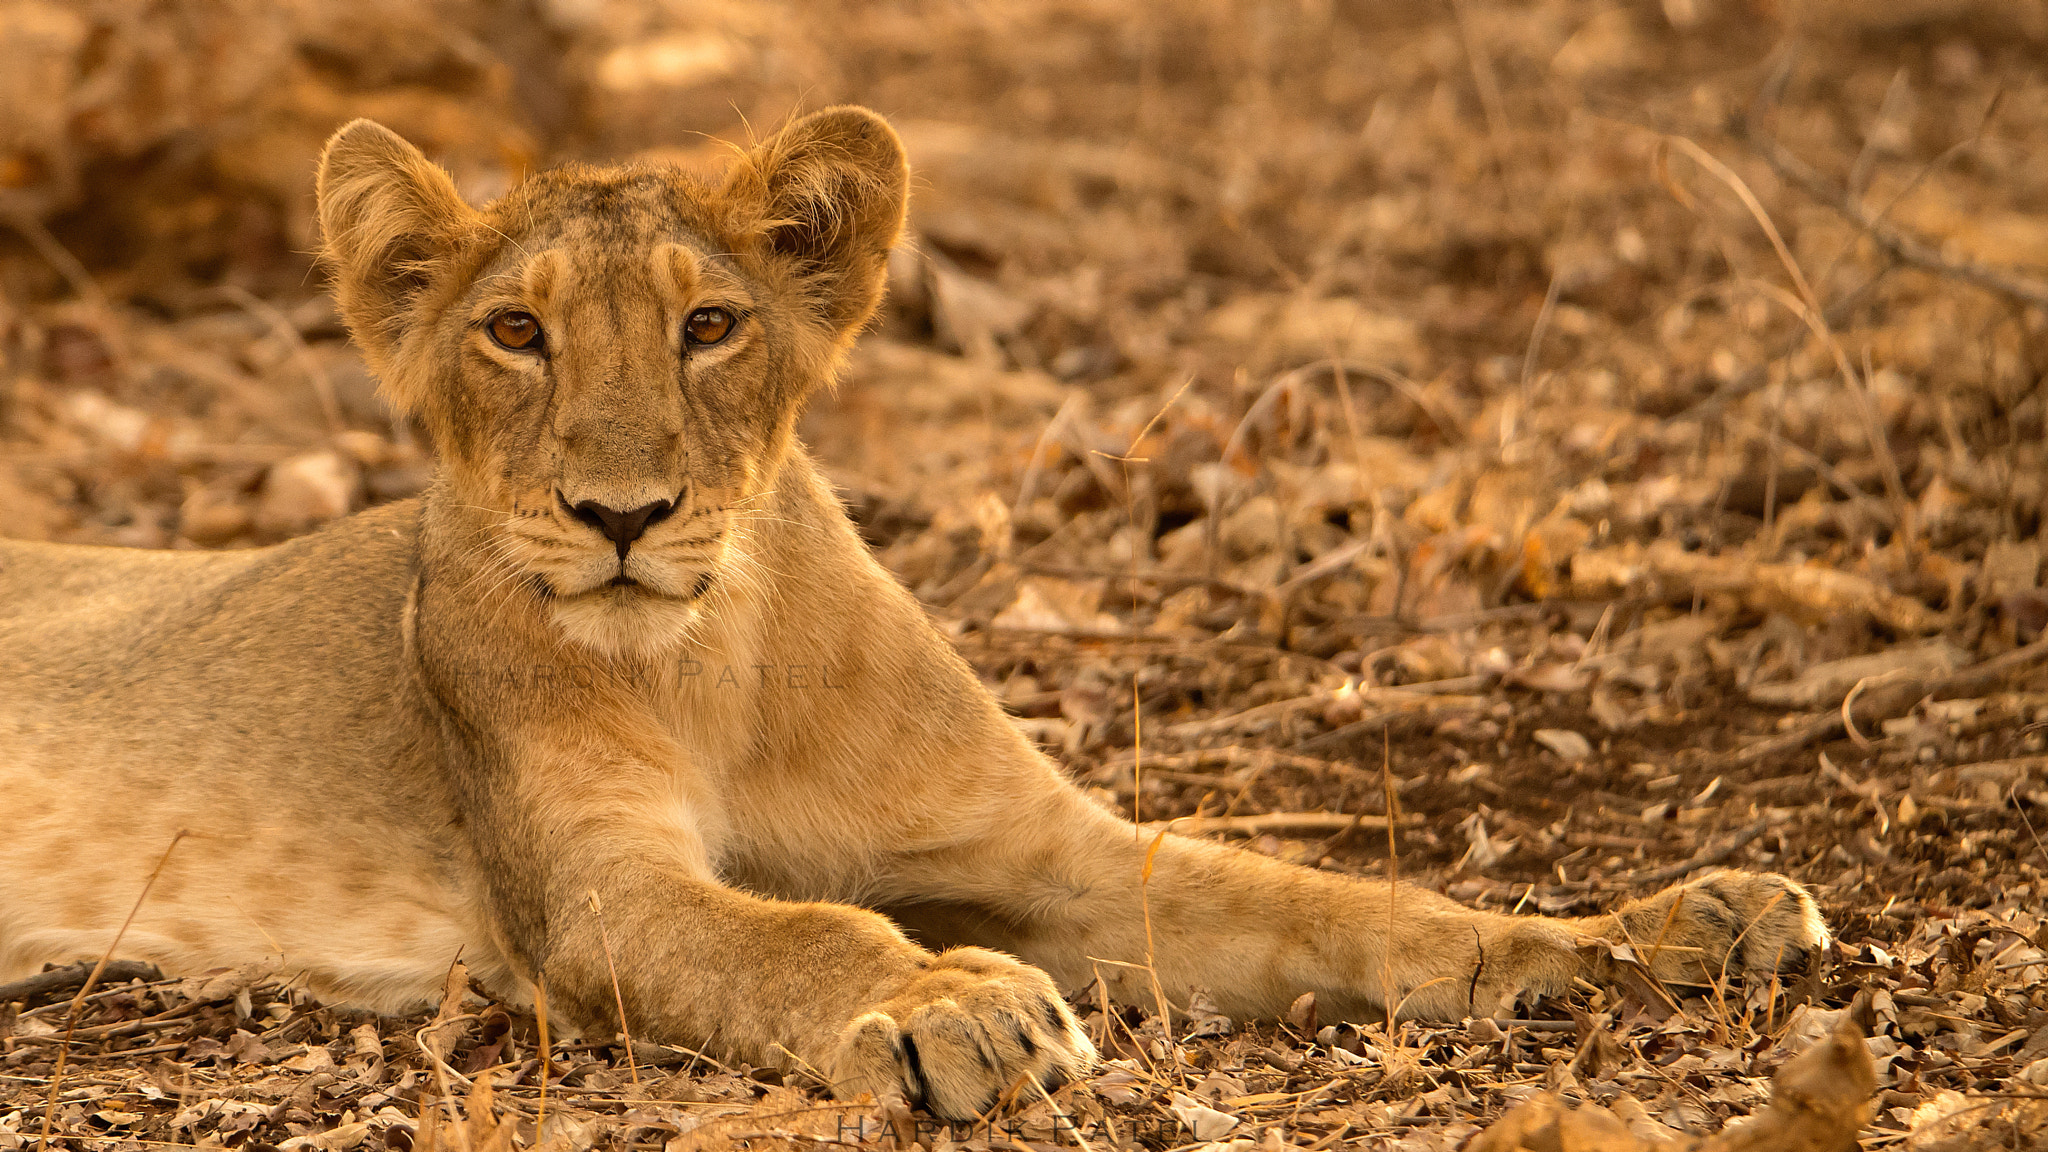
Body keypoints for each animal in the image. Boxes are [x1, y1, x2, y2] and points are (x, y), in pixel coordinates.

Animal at [0, 107, 1827, 1120]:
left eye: (712, 326)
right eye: (515, 332)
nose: (620, 515)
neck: (713, 661)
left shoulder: (1051, 852)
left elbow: (1339, 906)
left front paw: (1668, 931)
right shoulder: (587, 900)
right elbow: (798, 933)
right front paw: (957, 1008)